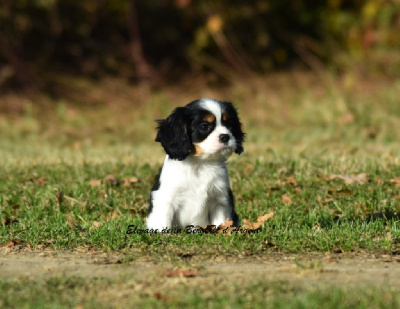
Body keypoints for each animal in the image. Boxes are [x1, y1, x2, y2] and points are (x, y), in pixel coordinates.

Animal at [145, 97, 242, 230]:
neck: (200, 163)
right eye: (204, 126)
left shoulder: (220, 199)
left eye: (230, 125)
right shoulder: (166, 199)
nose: (225, 136)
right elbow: (163, 221)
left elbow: (220, 221)